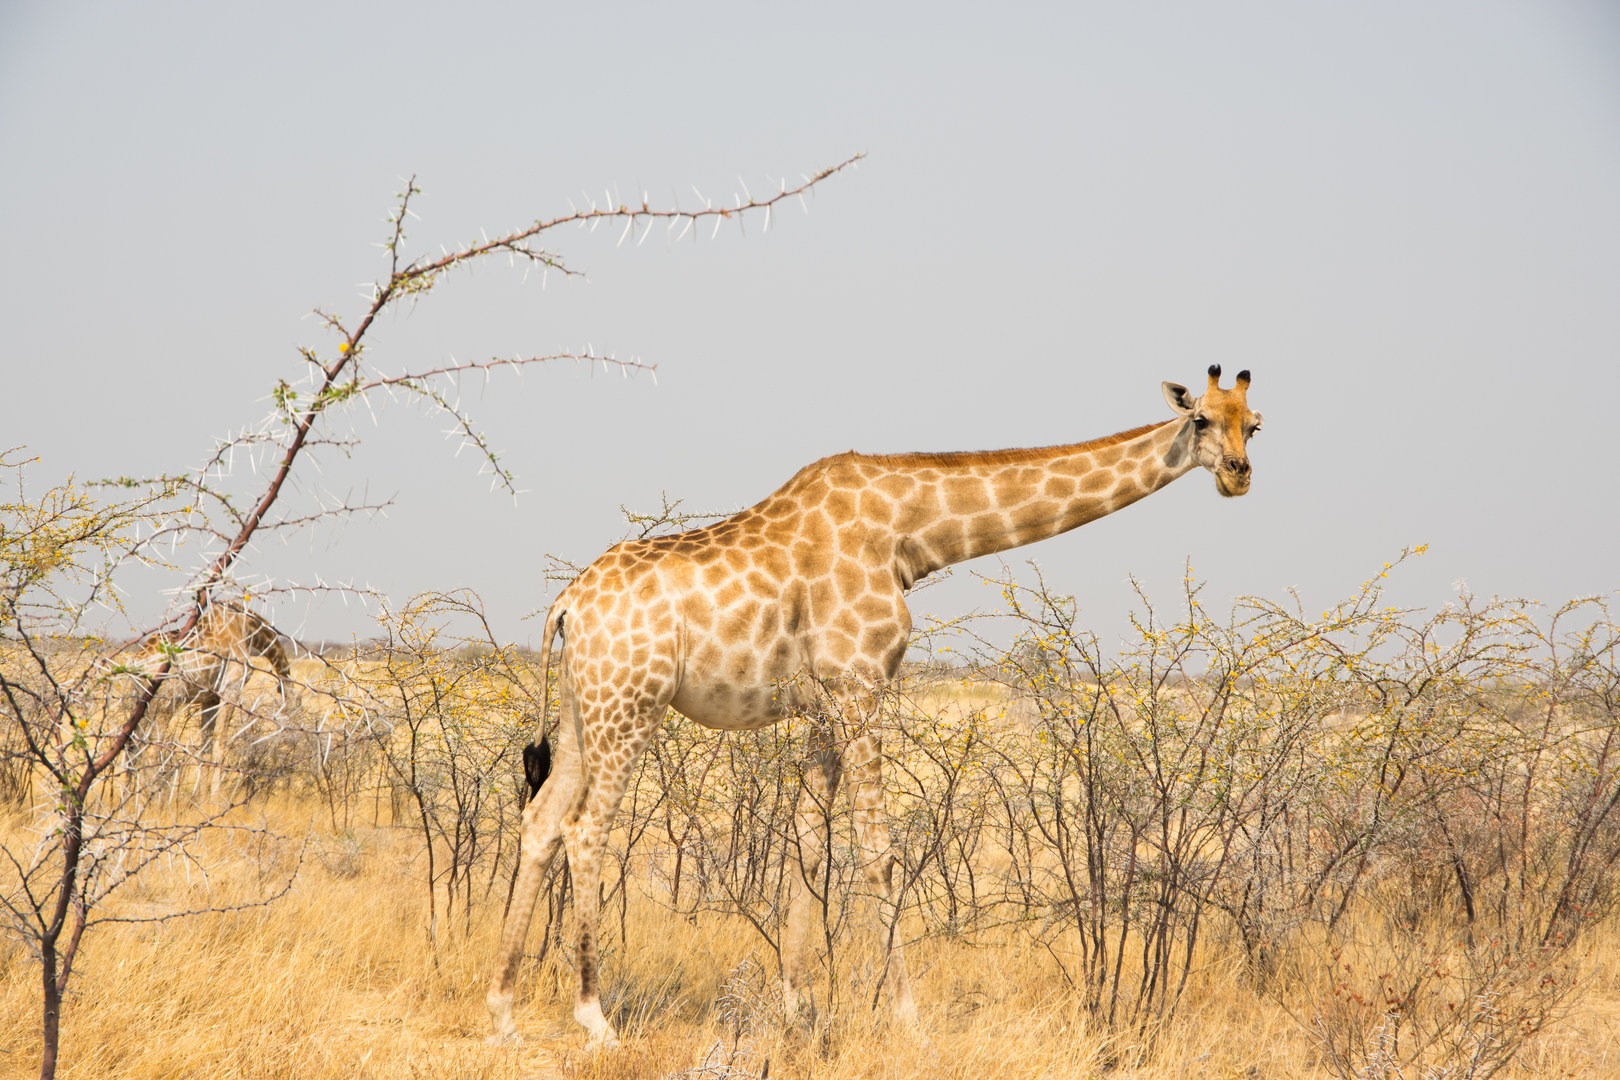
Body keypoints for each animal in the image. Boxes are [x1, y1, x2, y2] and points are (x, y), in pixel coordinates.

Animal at [488, 365, 1262, 1046]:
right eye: (1200, 419)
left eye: (1253, 423)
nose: (1237, 474)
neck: (909, 532)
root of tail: (567, 605)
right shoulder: (861, 682)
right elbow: (878, 853)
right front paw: (908, 1019)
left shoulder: (825, 700)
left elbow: (805, 846)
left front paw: (797, 1010)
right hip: (631, 705)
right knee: (587, 829)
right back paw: (595, 1019)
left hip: (584, 709)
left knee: (543, 820)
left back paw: (502, 1011)